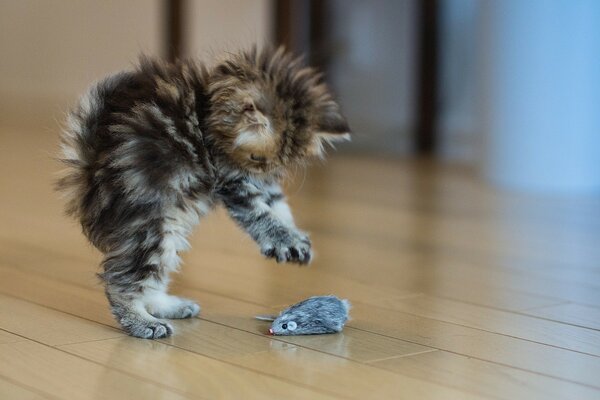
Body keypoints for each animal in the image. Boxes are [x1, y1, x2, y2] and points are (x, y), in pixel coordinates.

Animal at [58, 47, 350, 340]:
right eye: (256, 157)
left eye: (282, 162)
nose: (264, 171)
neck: (208, 111)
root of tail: (89, 173)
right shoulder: (232, 180)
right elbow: (261, 215)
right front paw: (284, 239)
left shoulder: (262, 185)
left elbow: (279, 207)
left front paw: (295, 237)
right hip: (150, 227)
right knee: (120, 280)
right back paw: (144, 322)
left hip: (169, 228)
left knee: (152, 278)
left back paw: (168, 306)